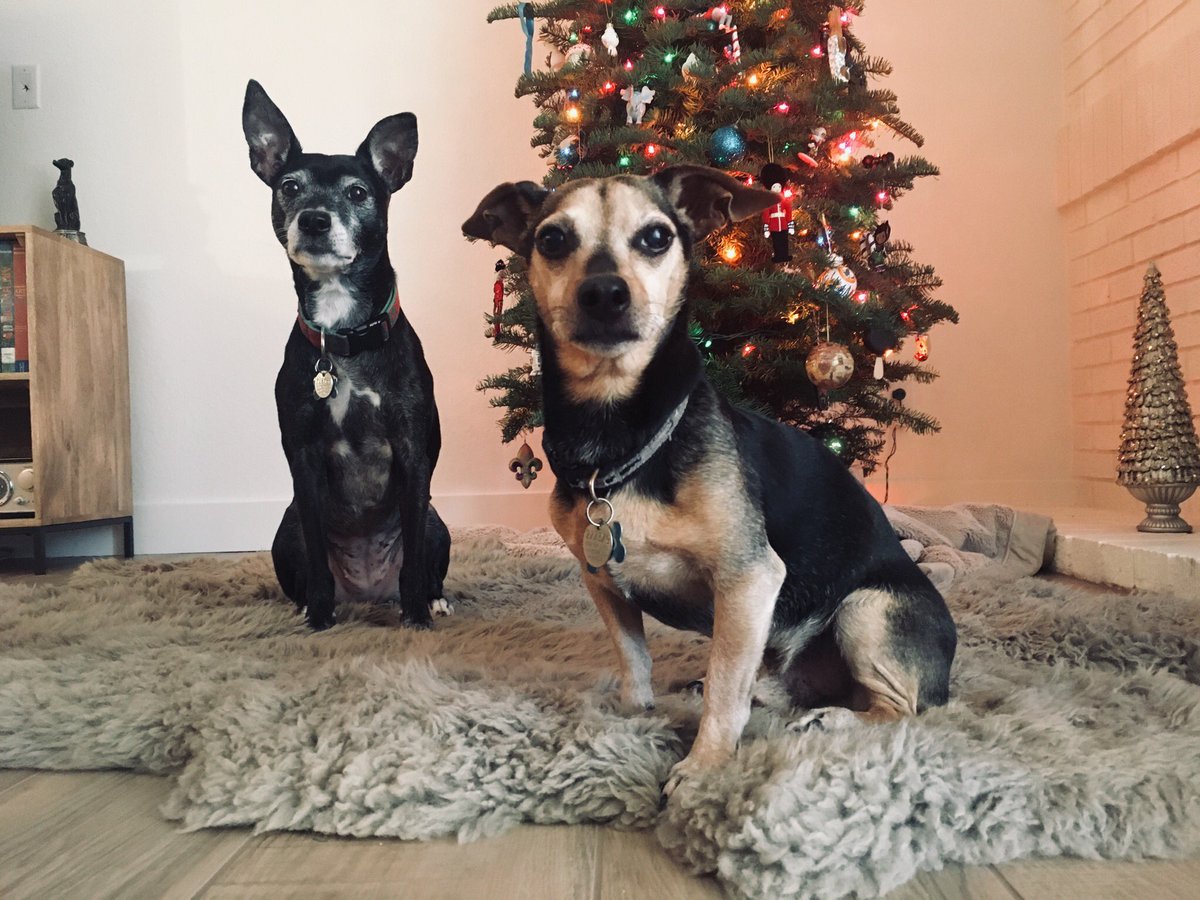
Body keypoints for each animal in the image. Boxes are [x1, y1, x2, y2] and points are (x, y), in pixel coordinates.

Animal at [241, 79, 451, 633]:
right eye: (289, 187)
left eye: (358, 192)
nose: (314, 220)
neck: (344, 332)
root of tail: (368, 591)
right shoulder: (304, 457)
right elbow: (317, 557)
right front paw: (318, 618)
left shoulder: (412, 450)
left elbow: (413, 561)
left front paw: (417, 618)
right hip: (285, 528)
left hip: (437, 523)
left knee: (423, 561)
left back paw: (432, 600)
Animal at [460, 165, 955, 792]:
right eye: (552, 240)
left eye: (656, 237)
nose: (604, 293)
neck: (619, 434)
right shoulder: (601, 582)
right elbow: (634, 659)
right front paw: (634, 715)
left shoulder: (748, 579)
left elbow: (725, 686)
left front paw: (705, 767)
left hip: (867, 609)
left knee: (900, 710)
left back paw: (829, 720)